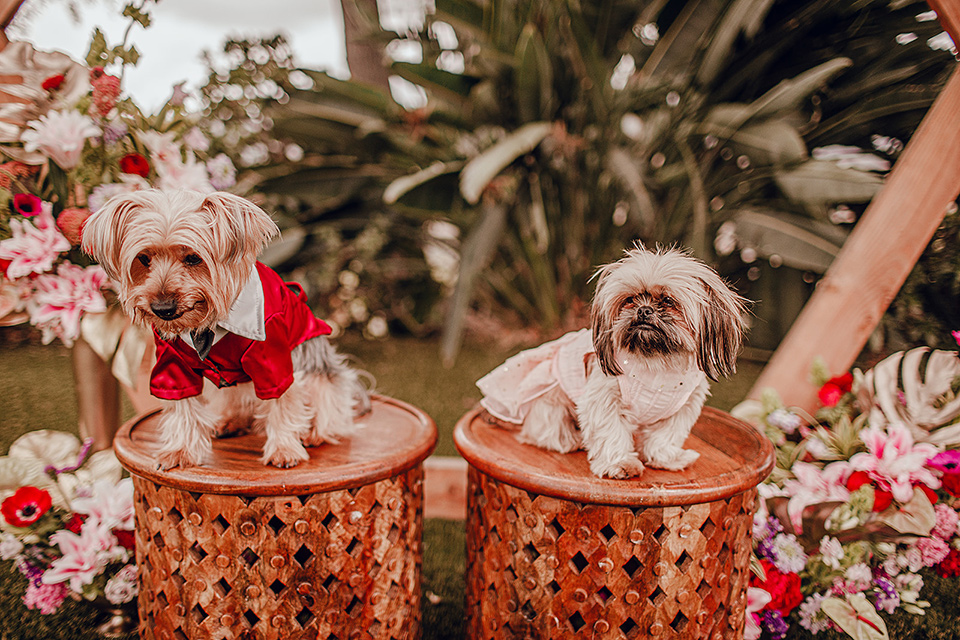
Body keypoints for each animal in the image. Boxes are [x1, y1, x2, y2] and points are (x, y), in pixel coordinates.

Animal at [81, 190, 372, 470]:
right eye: (143, 258)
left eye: (193, 258)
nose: (163, 308)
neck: (205, 324)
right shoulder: (172, 364)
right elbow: (182, 406)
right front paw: (180, 450)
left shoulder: (273, 358)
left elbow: (283, 401)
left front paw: (284, 449)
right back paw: (230, 422)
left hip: (324, 378)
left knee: (332, 413)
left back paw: (313, 433)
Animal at [480, 248, 752, 478]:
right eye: (630, 300)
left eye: (667, 301)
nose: (644, 310)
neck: (657, 365)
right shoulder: (603, 399)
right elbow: (611, 431)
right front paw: (620, 463)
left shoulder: (683, 407)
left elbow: (665, 437)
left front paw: (666, 459)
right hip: (548, 402)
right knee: (547, 434)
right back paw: (572, 439)